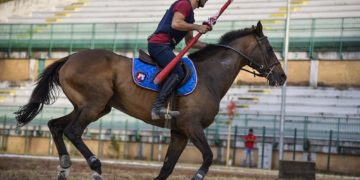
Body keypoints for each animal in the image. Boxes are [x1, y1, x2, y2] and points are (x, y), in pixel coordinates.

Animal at [14, 21, 286, 180]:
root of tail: (68, 58)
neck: (210, 75)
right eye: (270, 47)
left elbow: (167, 167)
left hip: (92, 107)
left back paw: (64, 164)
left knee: (55, 126)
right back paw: (95, 165)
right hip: (93, 105)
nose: (282, 76)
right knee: (73, 131)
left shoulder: (180, 133)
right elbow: (208, 157)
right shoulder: (191, 126)